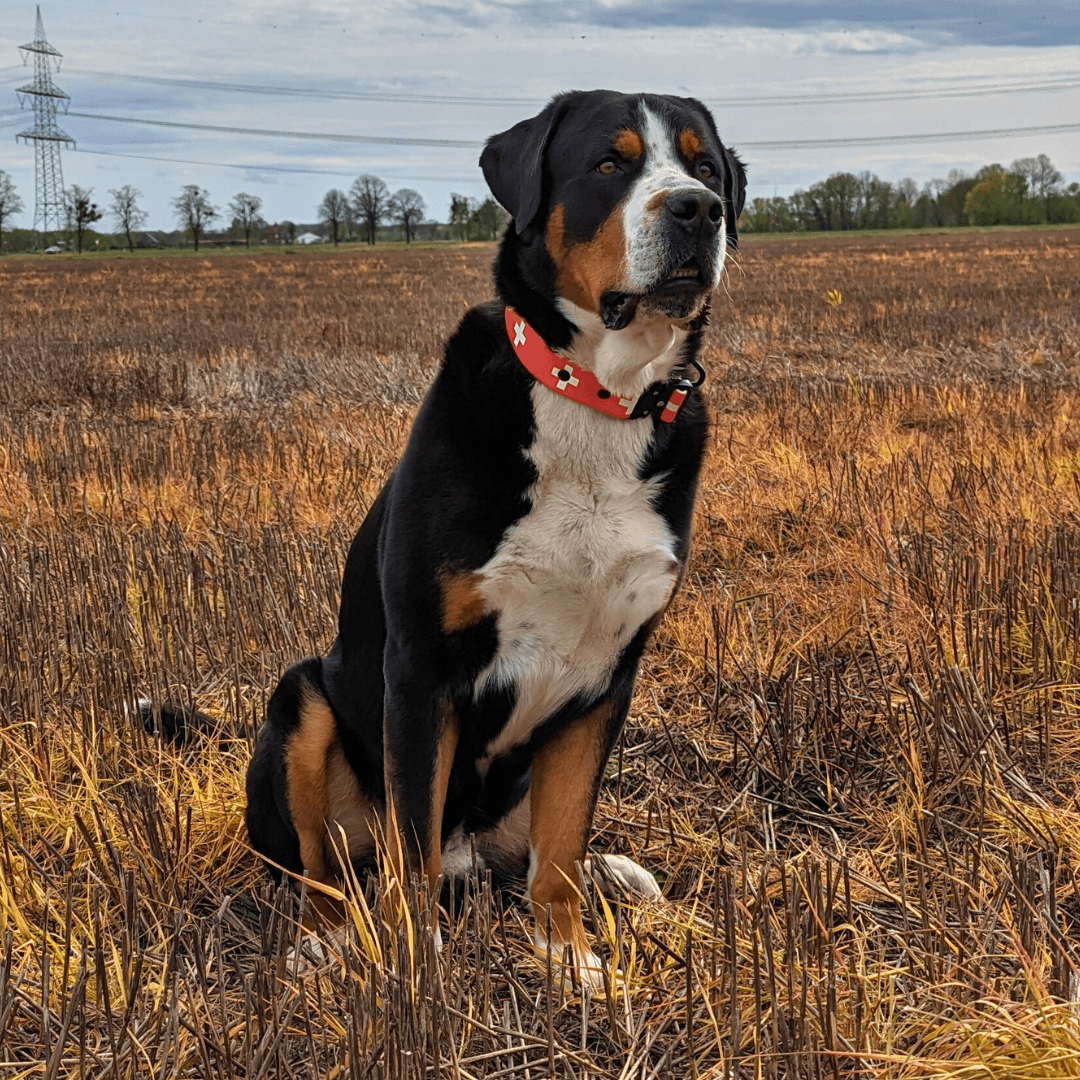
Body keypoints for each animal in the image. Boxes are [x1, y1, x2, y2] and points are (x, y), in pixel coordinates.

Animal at [246, 86, 747, 980]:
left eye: (707, 167)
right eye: (609, 163)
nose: (698, 209)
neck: (596, 398)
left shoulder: (605, 678)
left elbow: (561, 843)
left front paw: (569, 957)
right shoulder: (422, 670)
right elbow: (409, 846)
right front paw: (415, 973)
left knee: (533, 851)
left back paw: (611, 871)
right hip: (302, 699)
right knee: (325, 865)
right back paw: (322, 942)